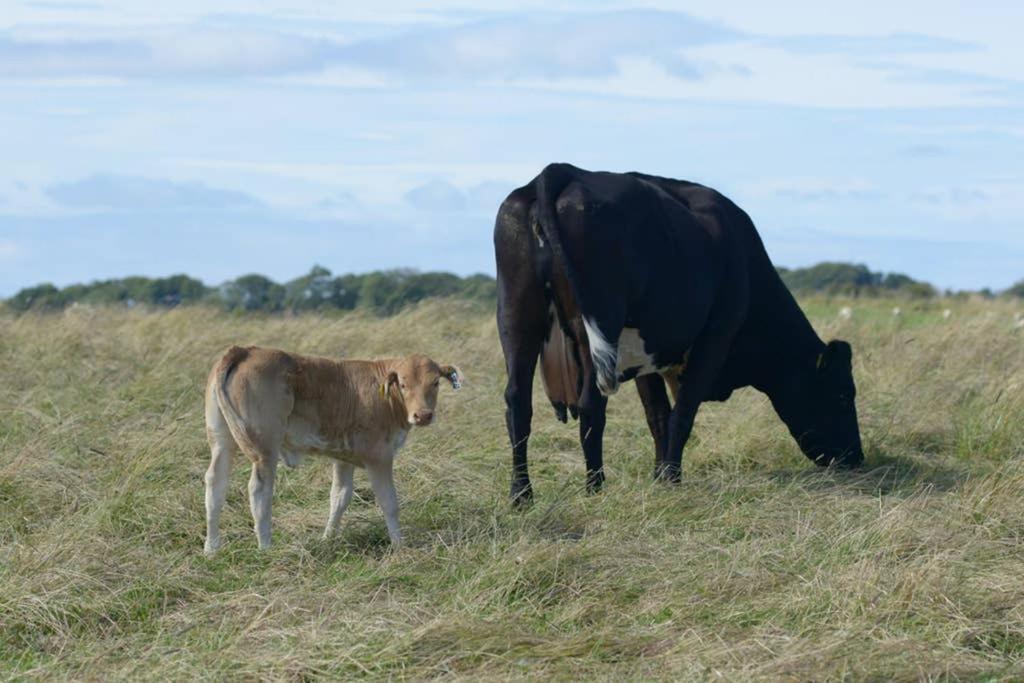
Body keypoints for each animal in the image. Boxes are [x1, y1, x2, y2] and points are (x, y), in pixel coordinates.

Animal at [203, 344, 460, 552]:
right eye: (404, 384)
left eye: (435, 382)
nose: (423, 415)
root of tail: (246, 351)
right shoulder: (379, 456)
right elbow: (389, 502)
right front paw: (399, 546)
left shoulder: (343, 457)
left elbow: (339, 497)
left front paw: (328, 539)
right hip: (264, 449)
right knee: (259, 491)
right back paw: (265, 546)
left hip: (221, 440)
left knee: (216, 483)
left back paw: (211, 547)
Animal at [495, 160, 864, 501]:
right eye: (844, 395)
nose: (856, 459)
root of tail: (563, 171)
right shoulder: (714, 340)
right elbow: (682, 414)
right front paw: (671, 480)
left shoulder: (646, 351)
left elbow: (658, 416)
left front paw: (660, 477)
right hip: (596, 326)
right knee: (590, 406)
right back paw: (595, 488)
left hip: (517, 316)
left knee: (518, 402)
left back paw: (521, 494)